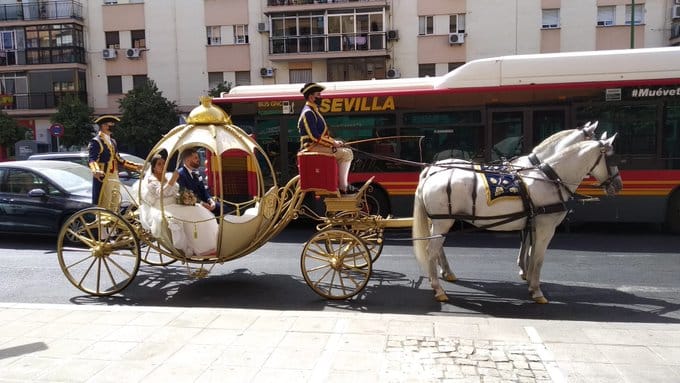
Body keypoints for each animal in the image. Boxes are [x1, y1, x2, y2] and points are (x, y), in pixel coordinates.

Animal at [412, 136, 624, 304]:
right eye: (612, 158)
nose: (618, 185)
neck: (549, 178)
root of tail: (430, 172)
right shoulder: (546, 227)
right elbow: (538, 258)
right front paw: (536, 291)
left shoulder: (533, 225)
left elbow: (530, 251)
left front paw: (528, 279)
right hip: (442, 221)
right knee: (431, 251)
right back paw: (438, 289)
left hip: (440, 222)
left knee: (437, 248)